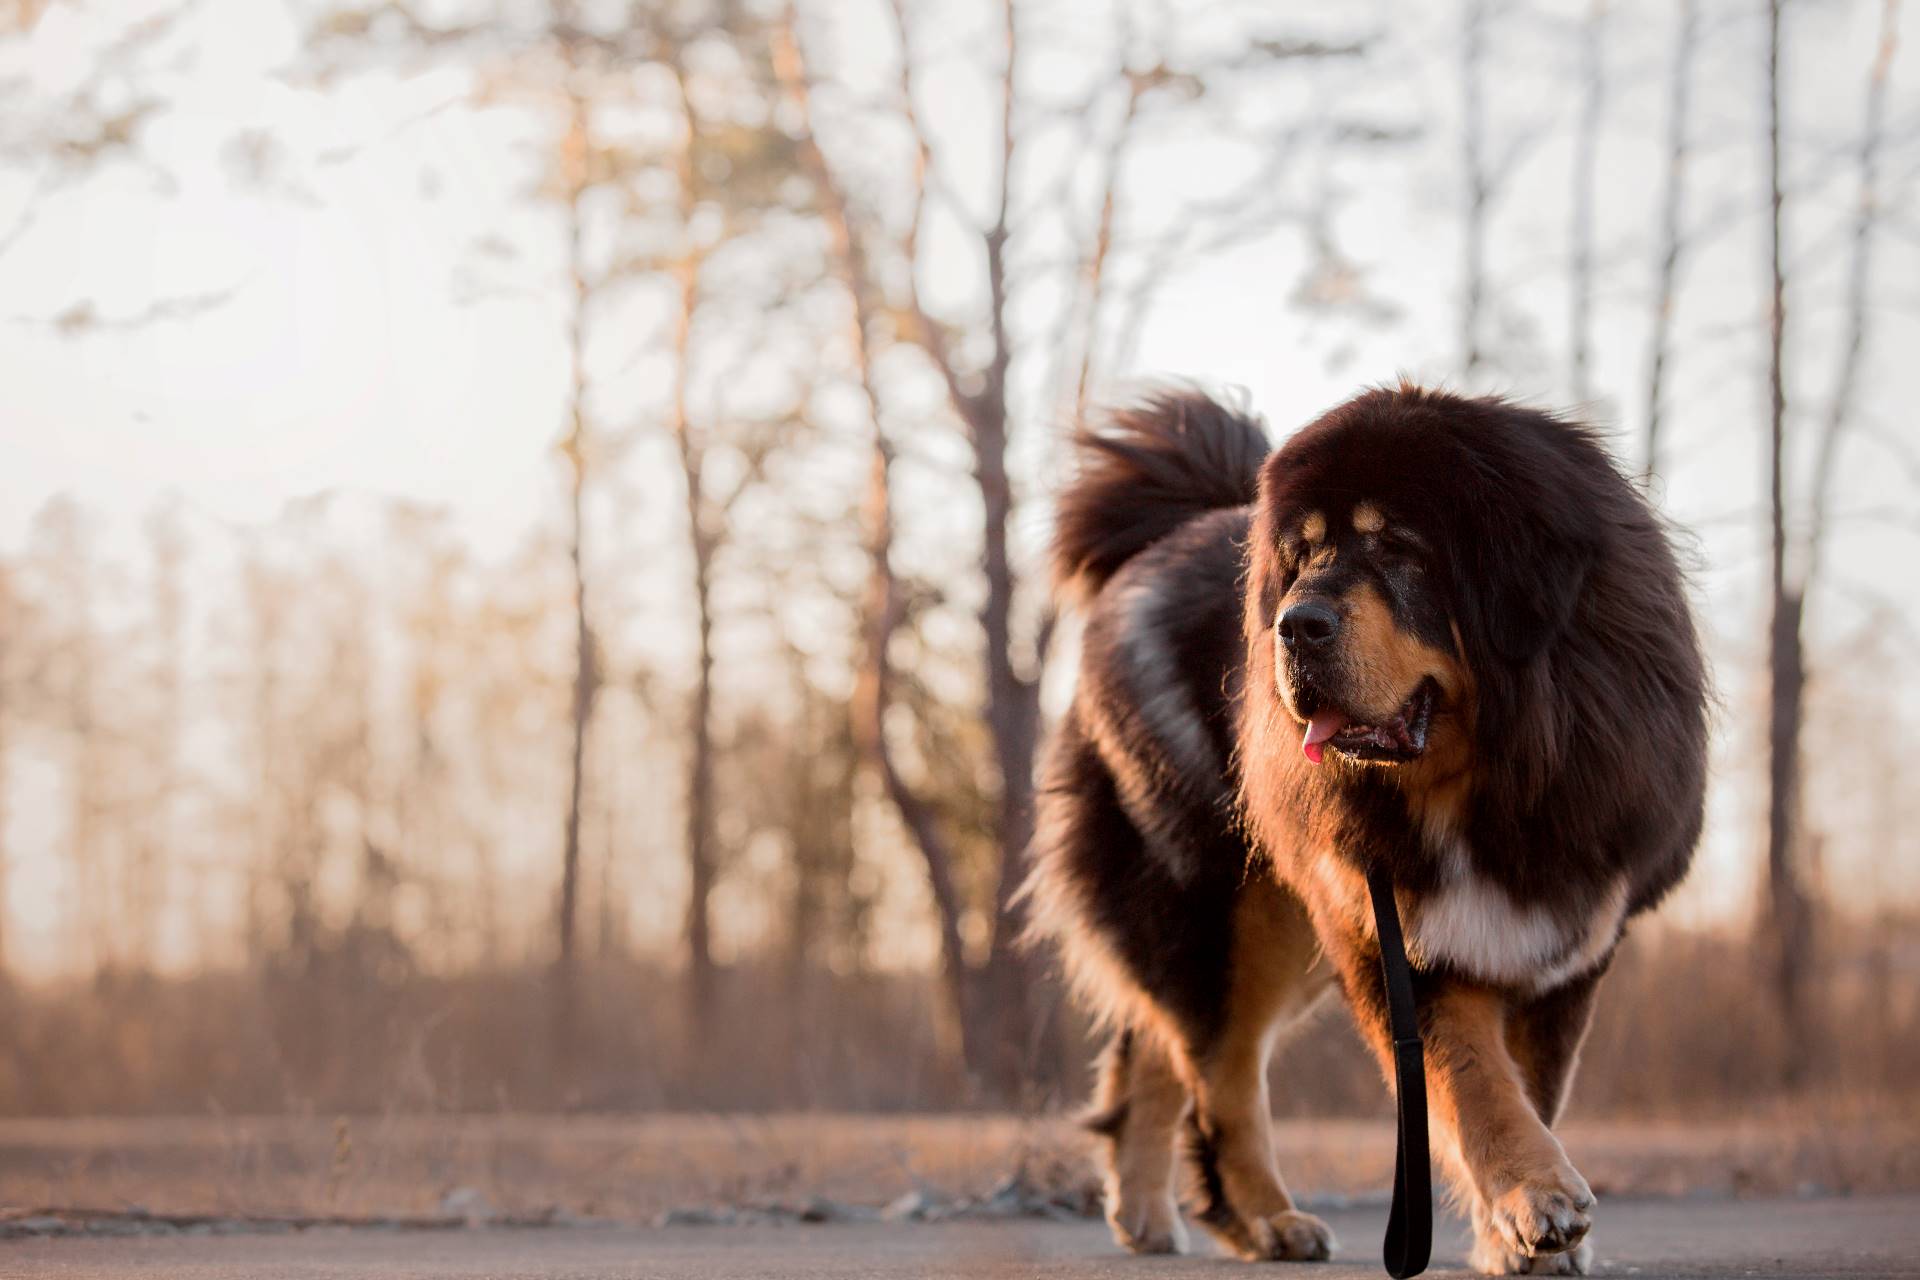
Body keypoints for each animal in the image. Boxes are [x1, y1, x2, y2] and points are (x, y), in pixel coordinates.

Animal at [1029, 385, 1704, 1274]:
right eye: (1305, 554)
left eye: (1399, 547)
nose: (1293, 624)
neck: (1490, 783)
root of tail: (1161, 541)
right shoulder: (1400, 934)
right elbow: (1475, 1082)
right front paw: (1537, 1199)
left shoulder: (1567, 942)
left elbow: (1531, 1087)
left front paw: (1516, 1237)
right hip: (1228, 905)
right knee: (1220, 1072)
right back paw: (1268, 1220)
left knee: (1160, 1047)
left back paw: (1152, 1213)